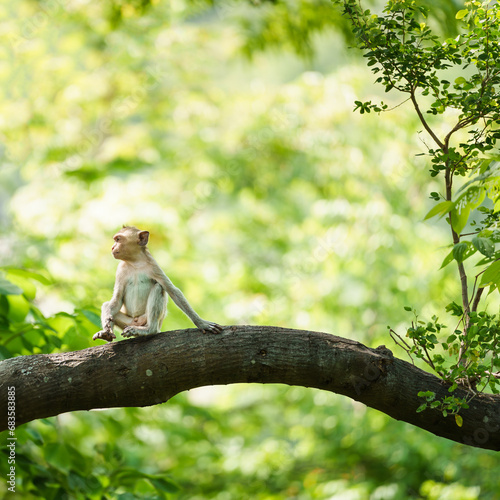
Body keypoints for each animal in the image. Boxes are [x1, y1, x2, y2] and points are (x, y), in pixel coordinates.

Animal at [94, 228, 223, 342]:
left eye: (118, 239)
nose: (112, 247)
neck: (135, 263)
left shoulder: (153, 266)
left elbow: (173, 291)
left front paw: (202, 323)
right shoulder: (120, 270)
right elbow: (116, 300)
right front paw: (106, 326)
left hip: (147, 320)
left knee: (158, 288)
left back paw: (149, 330)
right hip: (128, 322)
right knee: (109, 306)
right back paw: (107, 333)